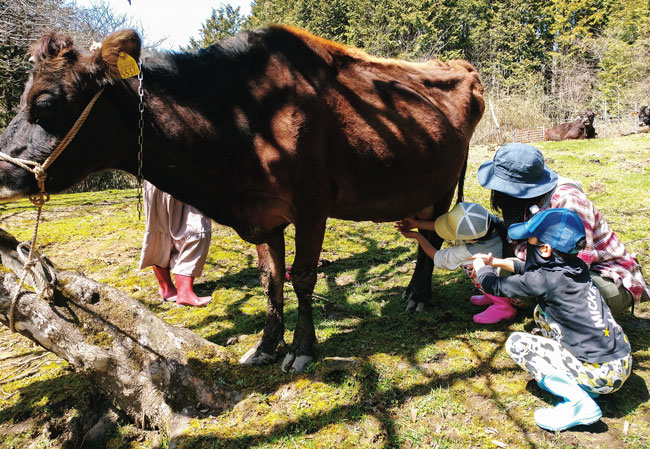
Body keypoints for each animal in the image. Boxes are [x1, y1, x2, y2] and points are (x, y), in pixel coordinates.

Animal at [0, 27, 480, 372]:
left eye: (44, 103)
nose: (3, 169)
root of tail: (462, 67)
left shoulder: (312, 205)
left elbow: (303, 277)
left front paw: (302, 349)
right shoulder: (263, 214)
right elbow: (271, 280)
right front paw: (266, 347)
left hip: (444, 185)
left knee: (433, 239)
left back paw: (420, 295)